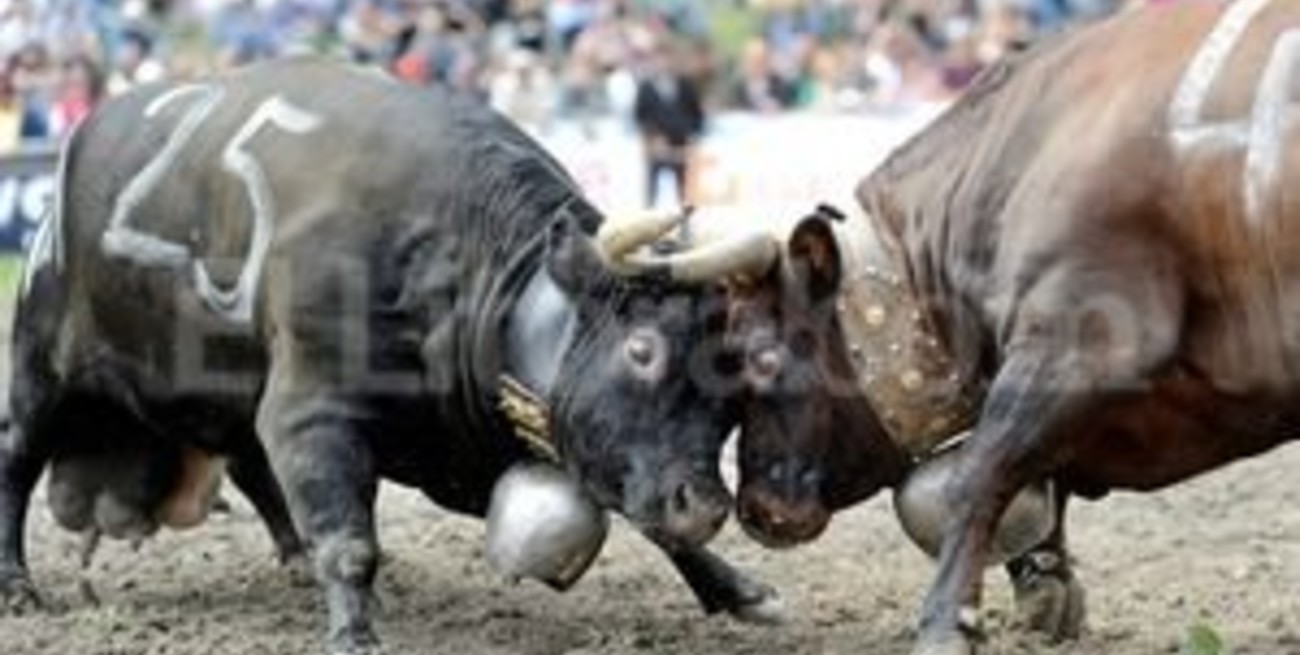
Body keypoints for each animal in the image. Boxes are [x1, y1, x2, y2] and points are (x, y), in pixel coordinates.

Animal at [0, 58, 781, 654]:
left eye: (732, 375)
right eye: (641, 349)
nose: (709, 505)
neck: (457, 263)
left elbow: (643, 512)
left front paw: (738, 588)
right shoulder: (309, 412)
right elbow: (350, 543)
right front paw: (355, 633)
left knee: (250, 467)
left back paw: (293, 559)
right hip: (41, 365)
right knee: (15, 460)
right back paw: (18, 586)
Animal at [718, 0, 1300, 653]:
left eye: (761, 355)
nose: (753, 508)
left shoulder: (1085, 338)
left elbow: (979, 472)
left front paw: (947, 619)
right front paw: (1045, 580)